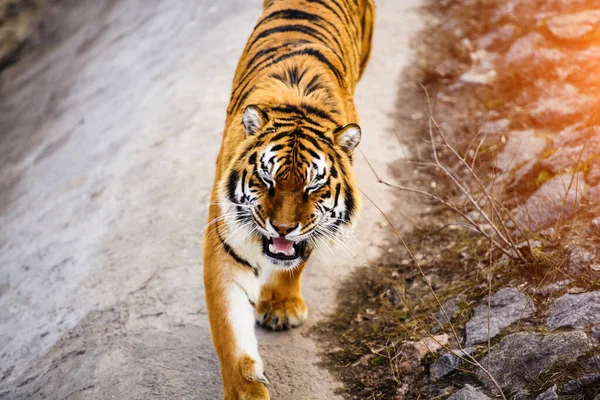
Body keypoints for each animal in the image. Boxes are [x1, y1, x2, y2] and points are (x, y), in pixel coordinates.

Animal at [205, 0, 376, 396]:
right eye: (267, 180)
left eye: (312, 187)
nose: (281, 228)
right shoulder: (225, 243)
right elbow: (232, 335)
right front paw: (245, 392)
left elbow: (297, 257)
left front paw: (281, 306)